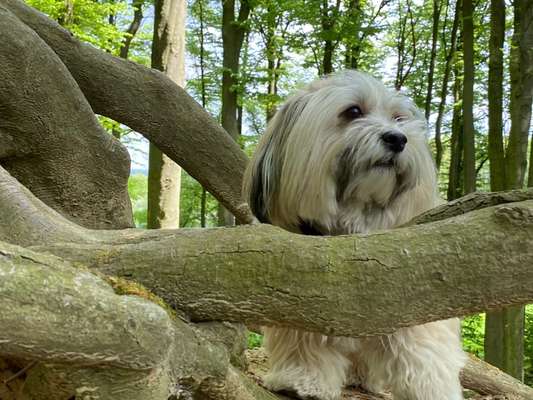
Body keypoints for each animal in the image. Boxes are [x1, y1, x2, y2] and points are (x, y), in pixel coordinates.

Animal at [242, 71, 466, 400]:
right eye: (353, 111)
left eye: (399, 118)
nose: (397, 138)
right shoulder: (297, 290)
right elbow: (304, 337)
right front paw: (303, 379)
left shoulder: (413, 293)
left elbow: (421, 345)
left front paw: (430, 388)